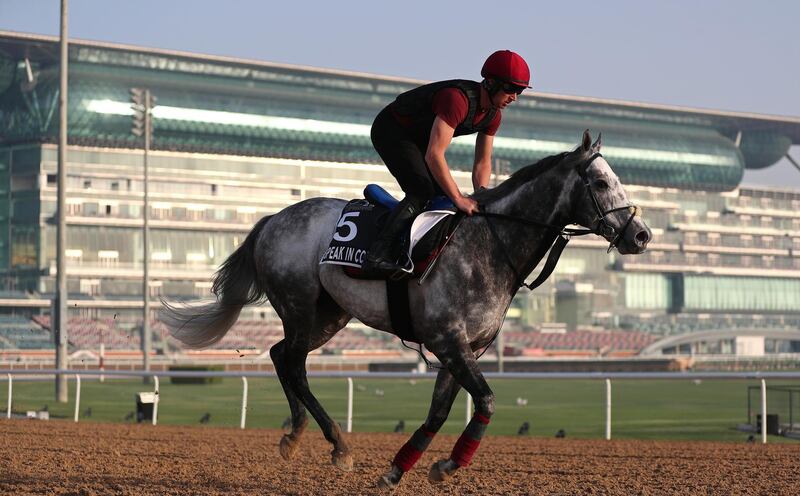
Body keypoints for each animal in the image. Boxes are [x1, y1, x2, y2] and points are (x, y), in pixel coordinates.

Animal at [161, 130, 648, 490]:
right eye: (600, 183)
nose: (640, 235)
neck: (489, 245)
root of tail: (270, 220)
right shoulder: (448, 340)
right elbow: (486, 400)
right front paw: (447, 466)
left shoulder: (465, 348)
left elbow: (439, 412)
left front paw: (400, 469)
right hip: (300, 306)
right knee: (293, 363)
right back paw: (338, 446)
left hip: (330, 315)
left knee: (282, 357)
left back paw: (295, 435)